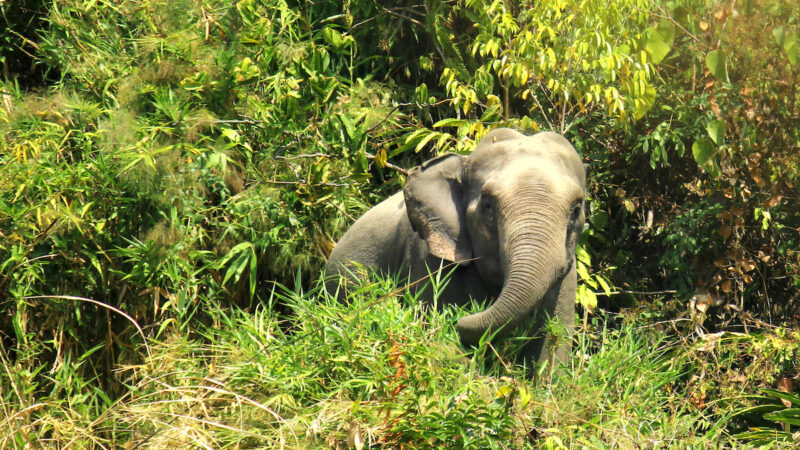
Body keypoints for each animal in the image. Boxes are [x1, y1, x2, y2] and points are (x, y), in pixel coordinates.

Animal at [324, 126, 588, 366]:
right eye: (488, 207)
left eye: (576, 210)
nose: (463, 317)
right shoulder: (428, 257)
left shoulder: (568, 274)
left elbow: (552, 347)